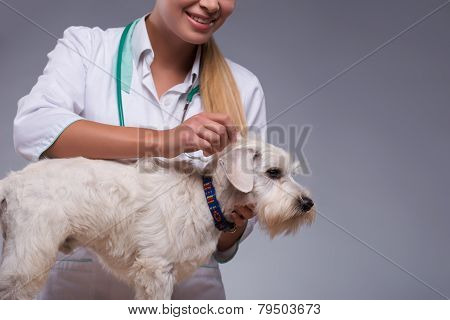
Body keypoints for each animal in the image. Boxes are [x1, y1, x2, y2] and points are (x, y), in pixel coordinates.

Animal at [0, 137, 314, 300]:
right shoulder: (156, 272)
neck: (205, 196)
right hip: (26, 262)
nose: (307, 203)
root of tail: (14, 181)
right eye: (273, 172)